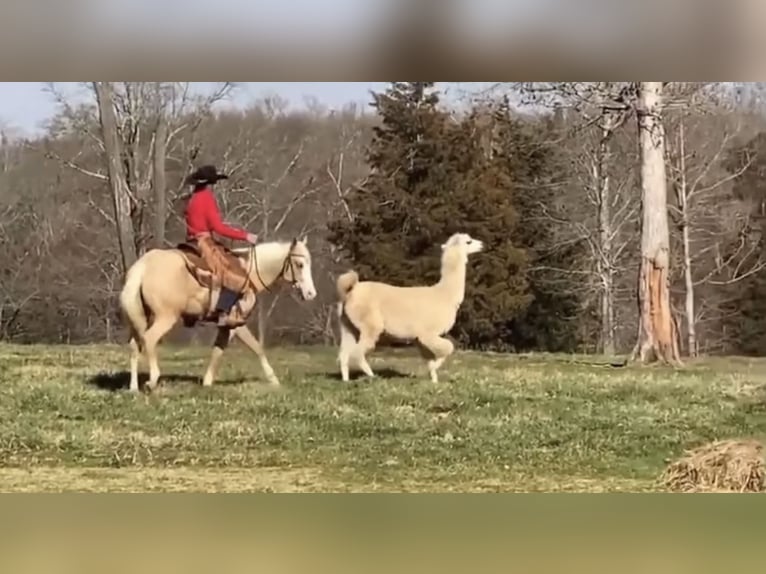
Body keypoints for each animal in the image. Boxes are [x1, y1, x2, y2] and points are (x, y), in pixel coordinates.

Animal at [118, 236, 316, 394]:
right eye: (299, 264)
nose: (311, 294)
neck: (249, 273)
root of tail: (143, 267)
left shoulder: (227, 326)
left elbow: (218, 351)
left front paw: (207, 382)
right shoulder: (236, 323)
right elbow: (256, 347)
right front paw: (273, 379)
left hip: (141, 318)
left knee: (134, 345)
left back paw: (133, 387)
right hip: (165, 318)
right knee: (149, 339)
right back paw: (152, 380)